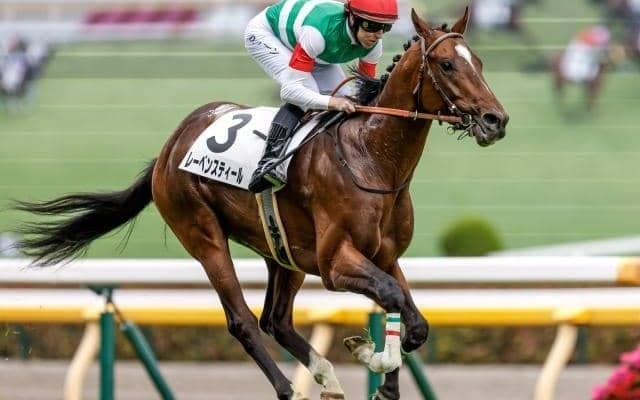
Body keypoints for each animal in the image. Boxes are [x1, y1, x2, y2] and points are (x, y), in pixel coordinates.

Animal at [13, 9, 507, 400]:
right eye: (447, 64)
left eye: (480, 62)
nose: (495, 119)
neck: (372, 159)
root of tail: (171, 146)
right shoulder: (334, 262)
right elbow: (392, 299)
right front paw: (373, 357)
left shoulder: (385, 255)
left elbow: (411, 315)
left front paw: (381, 373)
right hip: (203, 235)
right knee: (243, 320)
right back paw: (290, 388)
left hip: (282, 250)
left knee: (277, 319)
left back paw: (327, 378)